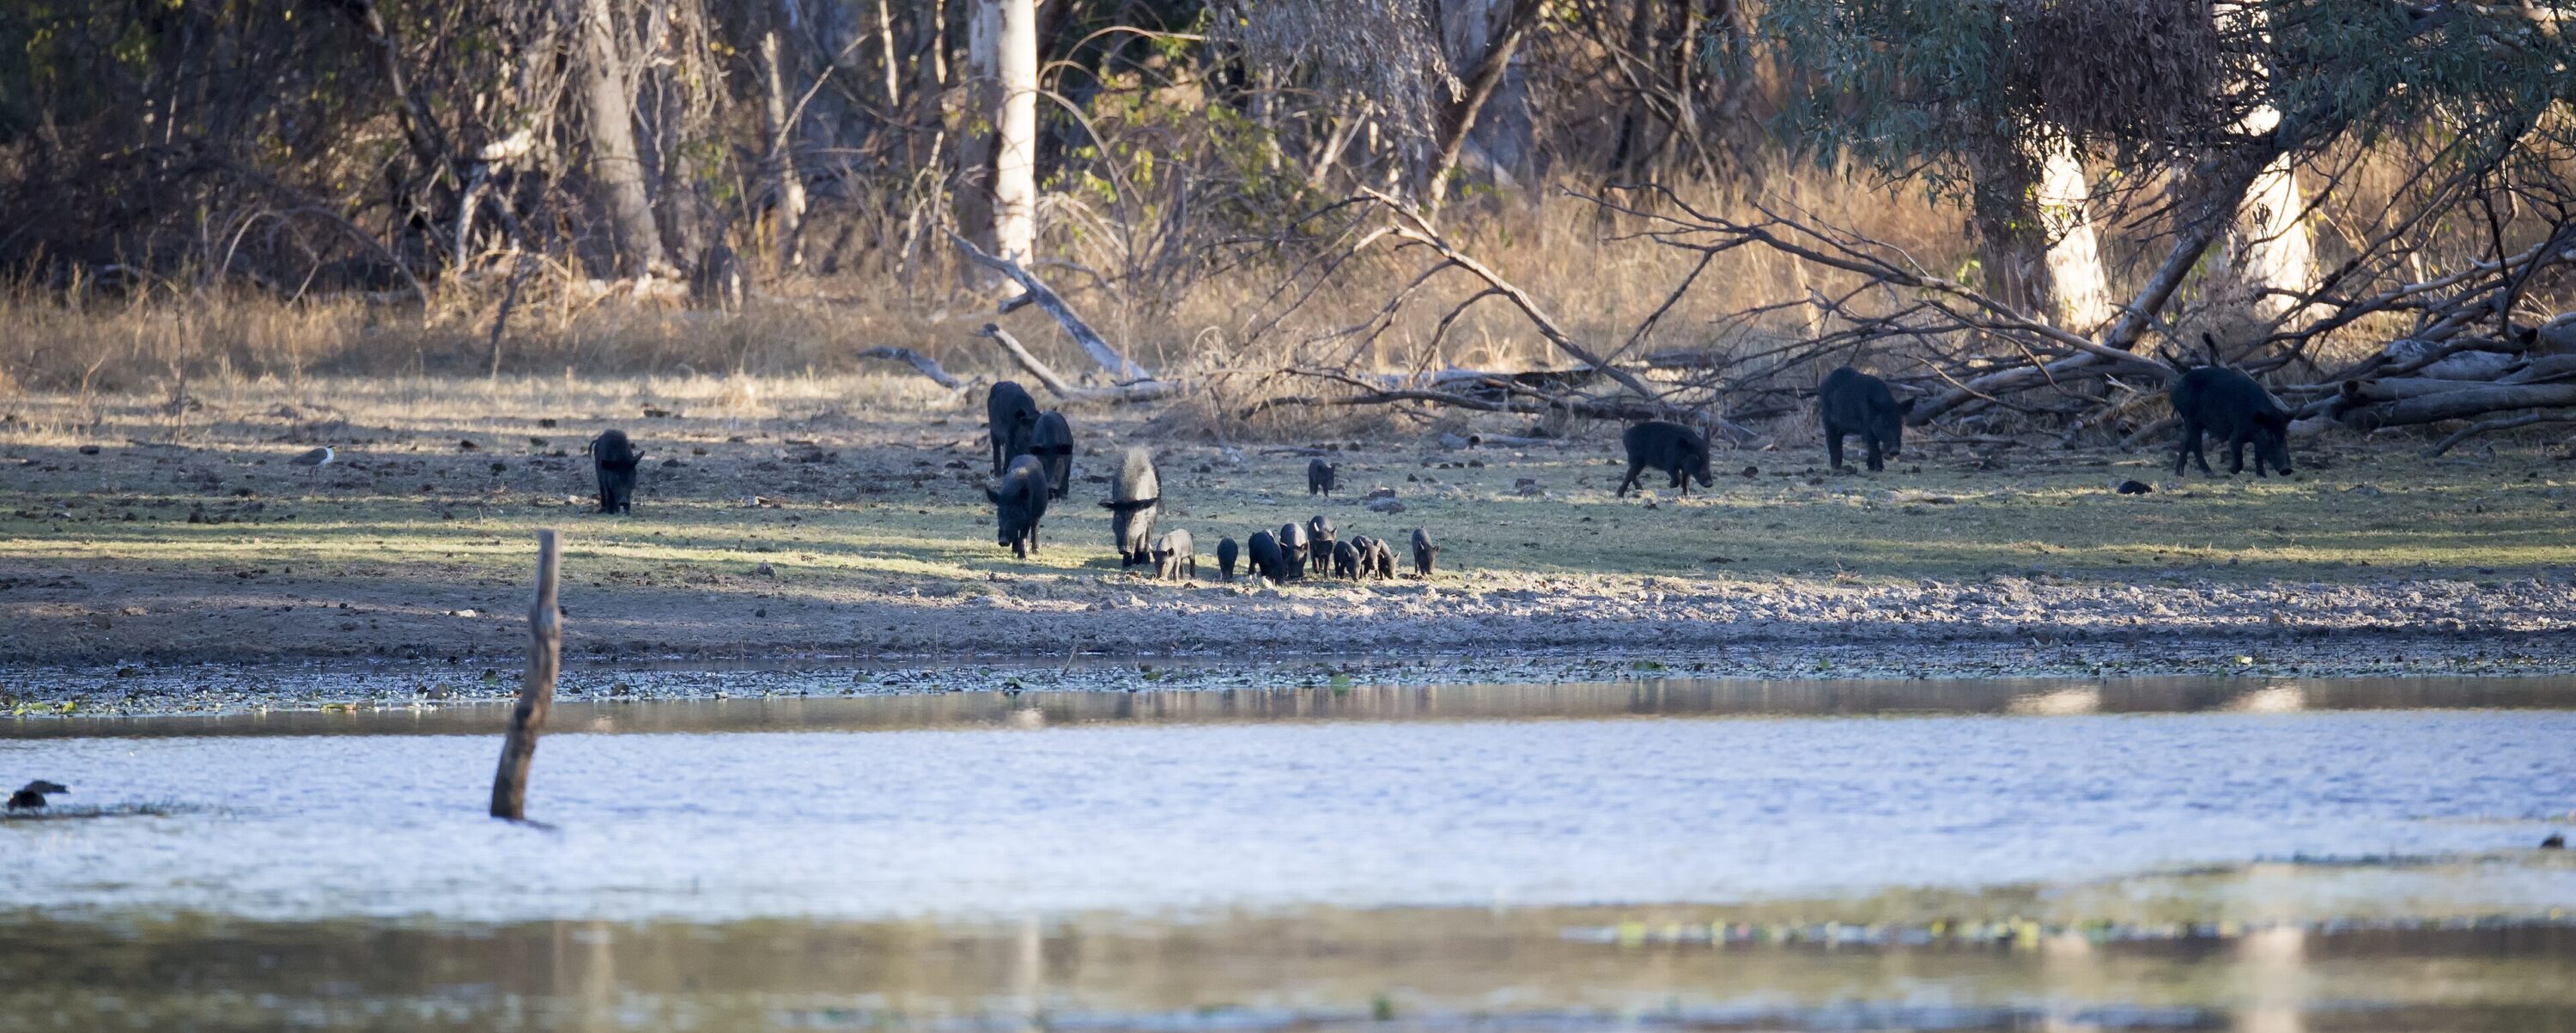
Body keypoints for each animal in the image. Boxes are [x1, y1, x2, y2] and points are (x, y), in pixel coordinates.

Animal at [2171, 361, 2295, 478]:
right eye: (2268, 433)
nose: (2287, 469)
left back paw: (2179, 474)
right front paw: (2230, 470)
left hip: (2194, 423)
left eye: (2283, 433)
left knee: (2186, 442)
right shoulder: (2236, 435)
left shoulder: (2257, 440)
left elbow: (2258, 456)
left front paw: (2262, 475)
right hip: (2190, 418)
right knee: (2196, 445)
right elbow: (2239, 456)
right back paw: (2210, 473)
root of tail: (2176, 388)